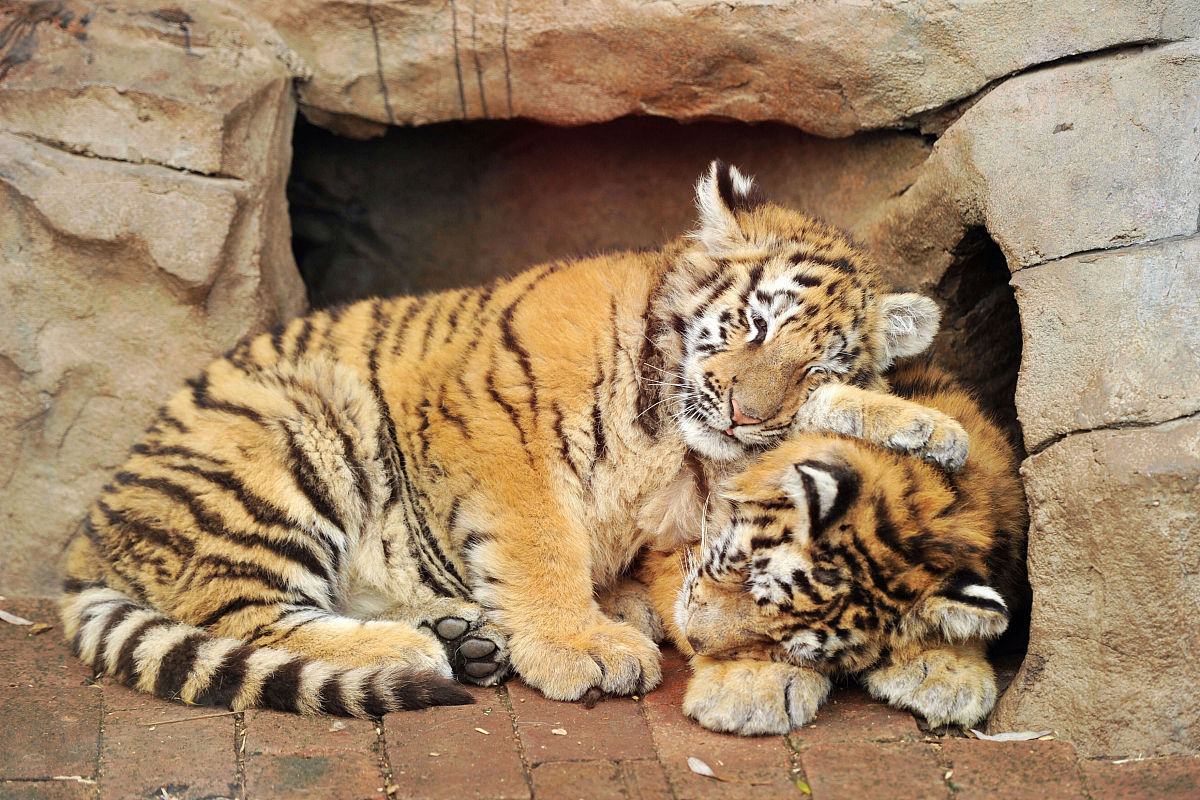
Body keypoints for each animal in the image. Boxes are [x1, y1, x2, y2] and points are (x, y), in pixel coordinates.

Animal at [59, 160, 969, 718]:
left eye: (812, 366)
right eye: (753, 324)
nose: (746, 413)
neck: (673, 430)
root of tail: (89, 530)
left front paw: (930, 429)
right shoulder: (504, 438)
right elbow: (541, 551)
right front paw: (584, 647)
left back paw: (463, 637)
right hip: (293, 434)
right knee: (235, 611)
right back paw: (414, 650)